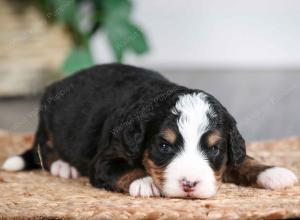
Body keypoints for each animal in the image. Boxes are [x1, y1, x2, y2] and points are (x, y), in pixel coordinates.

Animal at [2, 63, 298, 198]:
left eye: (214, 148)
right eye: (164, 146)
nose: (189, 184)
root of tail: (56, 85)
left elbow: (241, 159)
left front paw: (272, 172)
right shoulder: (105, 158)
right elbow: (122, 168)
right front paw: (145, 182)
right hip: (48, 123)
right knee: (43, 148)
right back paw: (64, 166)